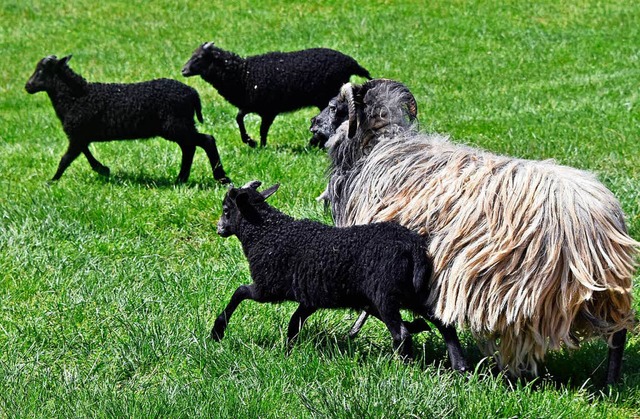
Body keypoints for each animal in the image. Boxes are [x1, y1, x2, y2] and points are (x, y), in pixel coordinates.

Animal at [28, 54, 232, 184]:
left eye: (41, 71)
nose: (27, 86)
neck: (75, 96)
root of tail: (192, 93)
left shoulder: (78, 134)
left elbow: (66, 158)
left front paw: (52, 181)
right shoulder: (80, 134)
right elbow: (83, 152)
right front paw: (102, 169)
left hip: (176, 125)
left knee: (206, 141)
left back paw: (221, 178)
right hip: (179, 126)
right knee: (189, 147)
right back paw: (181, 179)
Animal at [181, 42, 370, 148]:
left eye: (198, 58)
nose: (183, 70)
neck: (243, 74)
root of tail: (351, 62)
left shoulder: (268, 110)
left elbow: (262, 128)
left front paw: (259, 145)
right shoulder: (253, 105)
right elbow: (240, 118)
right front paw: (253, 142)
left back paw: (315, 142)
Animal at [212, 180, 468, 370]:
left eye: (226, 210)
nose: (219, 229)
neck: (267, 232)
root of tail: (412, 245)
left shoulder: (267, 287)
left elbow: (240, 292)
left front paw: (218, 331)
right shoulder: (311, 297)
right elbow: (295, 322)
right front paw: (288, 351)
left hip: (385, 293)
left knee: (401, 334)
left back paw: (403, 367)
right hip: (414, 292)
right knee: (443, 322)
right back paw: (459, 366)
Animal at [316, 80, 640, 386]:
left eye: (333, 107)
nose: (313, 124)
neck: (376, 148)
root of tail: (604, 217)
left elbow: (431, 317)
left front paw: (454, 362)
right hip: (607, 290)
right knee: (619, 332)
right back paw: (611, 381)